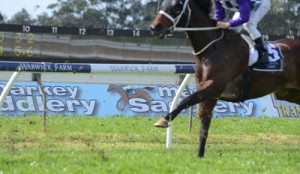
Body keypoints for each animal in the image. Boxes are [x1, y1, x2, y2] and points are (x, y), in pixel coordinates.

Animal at [150, 0, 300, 158]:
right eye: (163, 4)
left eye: (177, 6)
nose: (155, 28)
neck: (213, 48)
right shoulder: (209, 93)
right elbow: (204, 122)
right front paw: (200, 155)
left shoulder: (214, 87)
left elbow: (187, 100)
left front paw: (164, 120)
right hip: (290, 93)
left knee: (249, 24)